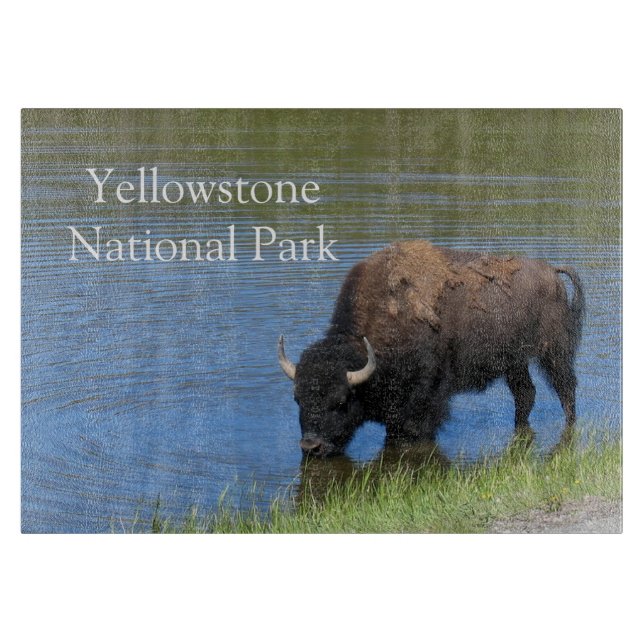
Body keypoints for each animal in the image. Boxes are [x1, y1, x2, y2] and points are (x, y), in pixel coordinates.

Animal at [278, 240, 584, 458]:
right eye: (297, 399)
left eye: (341, 401)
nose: (311, 447)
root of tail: (552, 272)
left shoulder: (425, 397)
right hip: (514, 362)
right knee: (525, 394)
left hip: (553, 352)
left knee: (565, 388)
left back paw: (570, 424)